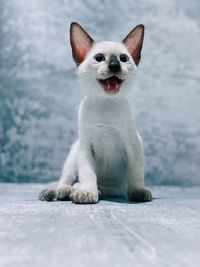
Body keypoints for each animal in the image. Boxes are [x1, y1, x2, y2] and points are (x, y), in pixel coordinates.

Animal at [38, 22, 152, 204]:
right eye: (99, 58)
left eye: (123, 59)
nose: (114, 66)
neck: (106, 104)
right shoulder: (86, 149)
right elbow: (87, 173)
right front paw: (87, 193)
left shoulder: (133, 146)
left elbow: (135, 174)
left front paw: (138, 192)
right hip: (74, 155)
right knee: (66, 180)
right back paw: (68, 191)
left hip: (114, 185)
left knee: (103, 187)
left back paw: (95, 190)